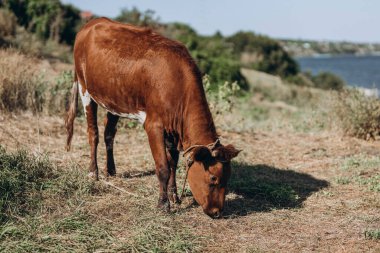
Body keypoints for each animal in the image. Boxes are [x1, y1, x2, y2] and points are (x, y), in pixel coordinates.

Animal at [64, 17, 239, 217]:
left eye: (228, 177)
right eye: (213, 178)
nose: (217, 211)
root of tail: (92, 22)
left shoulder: (173, 130)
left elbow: (173, 163)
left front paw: (174, 195)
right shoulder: (153, 125)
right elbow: (163, 167)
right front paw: (163, 203)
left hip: (114, 99)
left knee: (109, 133)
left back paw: (111, 170)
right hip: (85, 89)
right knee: (93, 133)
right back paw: (94, 173)